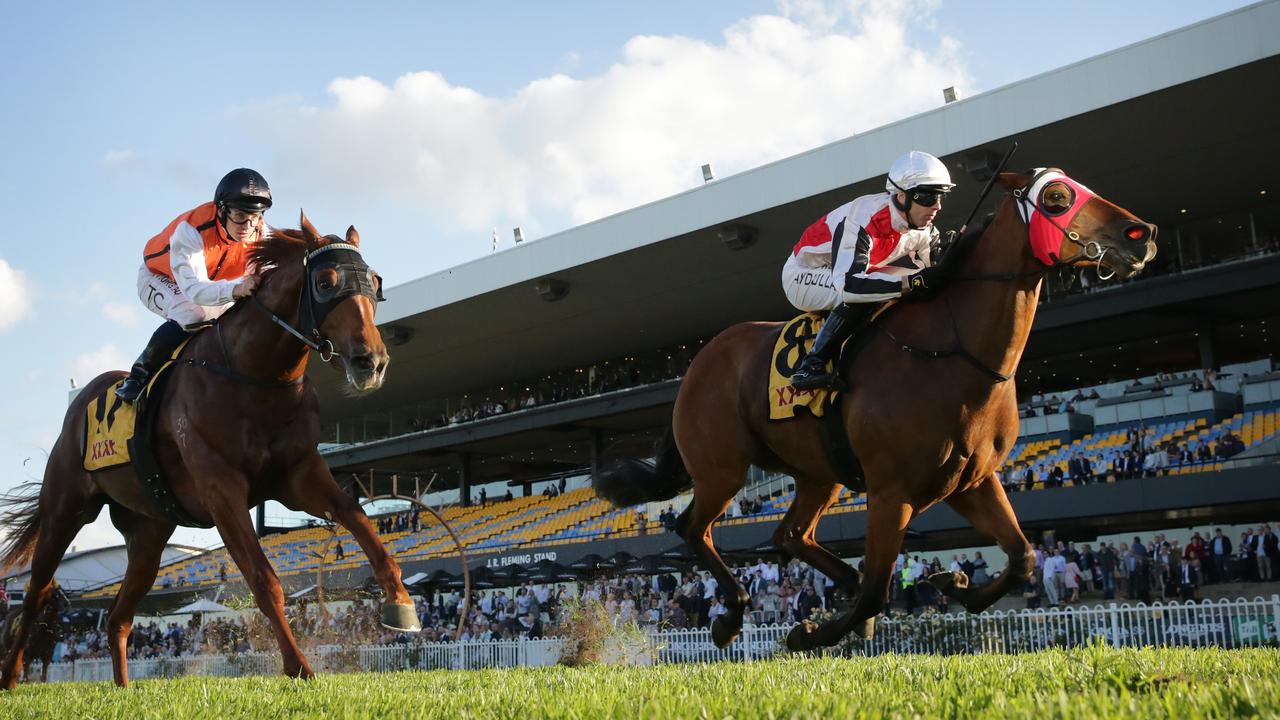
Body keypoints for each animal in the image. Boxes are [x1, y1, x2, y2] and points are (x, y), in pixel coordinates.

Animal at [0, 211, 419, 681]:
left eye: (375, 281)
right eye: (326, 282)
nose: (372, 362)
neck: (253, 375)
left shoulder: (299, 475)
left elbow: (360, 522)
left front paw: (401, 606)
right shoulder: (222, 490)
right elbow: (264, 580)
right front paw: (299, 668)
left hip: (149, 532)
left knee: (118, 617)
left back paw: (123, 687)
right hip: (65, 508)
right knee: (36, 594)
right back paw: (11, 674)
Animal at [596, 169, 1162, 650]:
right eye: (1057, 198)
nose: (1142, 233)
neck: (952, 353)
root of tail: (697, 364)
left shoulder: (973, 481)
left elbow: (1022, 556)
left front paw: (953, 582)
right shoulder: (892, 492)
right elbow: (877, 591)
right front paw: (809, 632)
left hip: (819, 475)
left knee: (788, 534)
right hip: (722, 469)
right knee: (693, 529)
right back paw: (732, 615)